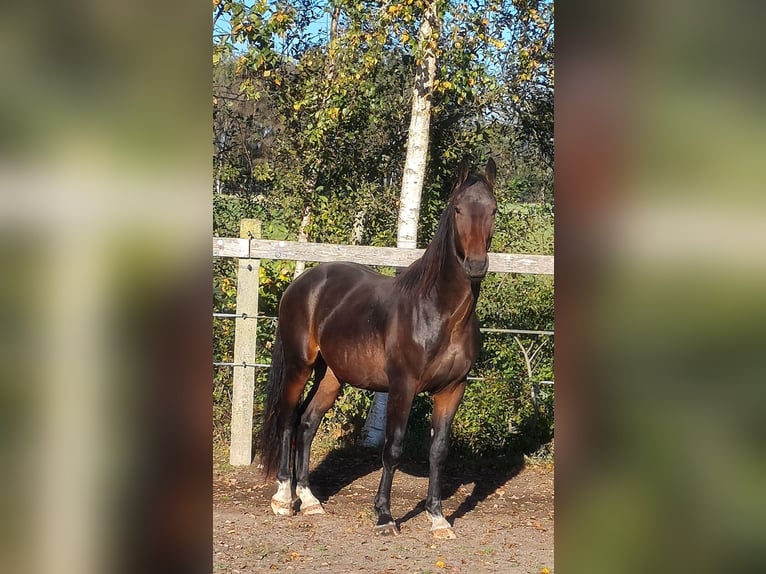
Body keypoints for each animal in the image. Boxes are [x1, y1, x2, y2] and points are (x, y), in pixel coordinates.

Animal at [258, 161, 498, 540]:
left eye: (493, 210)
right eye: (458, 209)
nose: (475, 265)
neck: (439, 313)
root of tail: (302, 282)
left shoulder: (452, 389)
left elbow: (439, 451)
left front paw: (438, 519)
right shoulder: (403, 386)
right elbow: (393, 448)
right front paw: (385, 516)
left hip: (332, 375)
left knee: (307, 424)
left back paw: (309, 500)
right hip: (300, 365)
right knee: (286, 419)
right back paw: (284, 497)